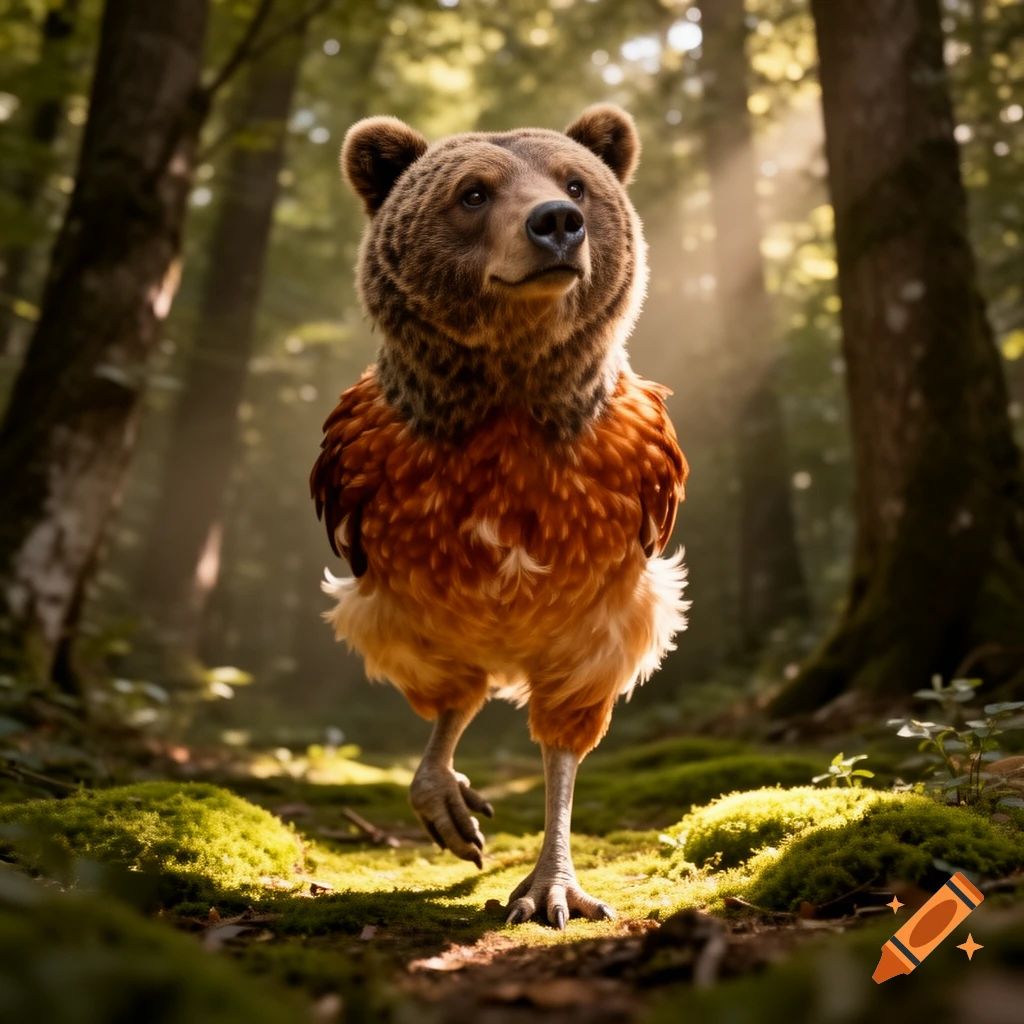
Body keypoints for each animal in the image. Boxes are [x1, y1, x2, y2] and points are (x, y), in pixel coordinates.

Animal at [311, 105, 688, 928]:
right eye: (473, 193)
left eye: (576, 183)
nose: (557, 223)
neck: (510, 408)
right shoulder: (375, 527)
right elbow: (446, 694)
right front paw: (446, 796)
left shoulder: (613, 585)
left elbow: (566, 742)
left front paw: (553, 882)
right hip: (422, 613)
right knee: (459, 691)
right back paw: (448, 798)